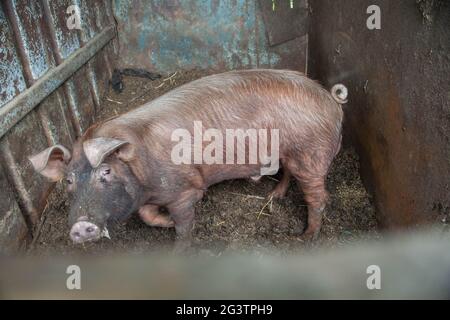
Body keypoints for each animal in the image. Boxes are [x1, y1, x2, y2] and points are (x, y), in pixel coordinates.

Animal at [29, 69, 346, 250]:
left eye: (106, 171)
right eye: (68, 180)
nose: (79, 225)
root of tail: (331, 101)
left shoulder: (185, 190)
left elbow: (184, 225)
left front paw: (177, 243)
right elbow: (147, 215)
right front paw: (165, 222)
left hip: (311, 153)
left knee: (319, 197)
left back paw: (305, 238)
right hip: (291, 153)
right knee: (288, 174)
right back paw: (274, 197)